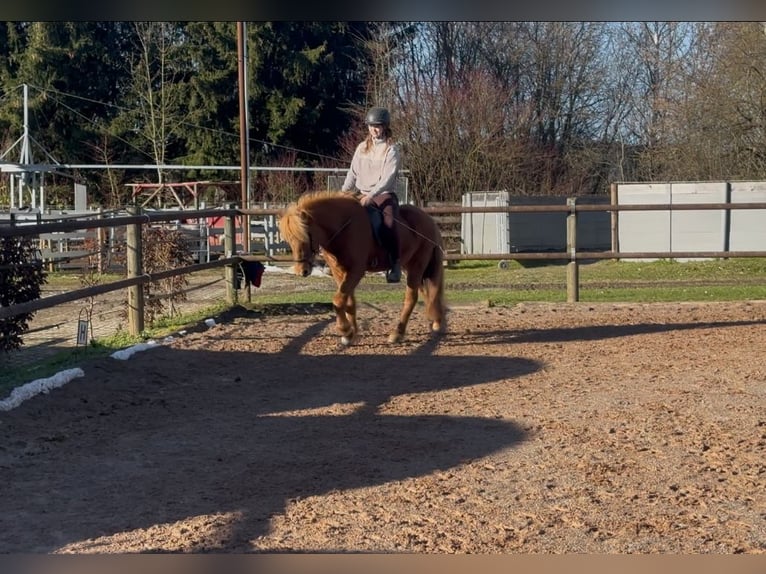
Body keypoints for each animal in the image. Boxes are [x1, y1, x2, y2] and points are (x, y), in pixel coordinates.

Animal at [280, 192, 448, 346]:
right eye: (289, 240)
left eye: (305, 235)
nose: (302, 271)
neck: (344, 227)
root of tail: (429, 219)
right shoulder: (339, 271)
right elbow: (348, 302)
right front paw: (351, 334)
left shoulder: (356, 271)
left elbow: (338, 301)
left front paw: (345, 330)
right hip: (410, 266)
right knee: (427, 292)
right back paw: (435, 322)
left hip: (417, 265)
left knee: (412, 298)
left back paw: (398, 333)